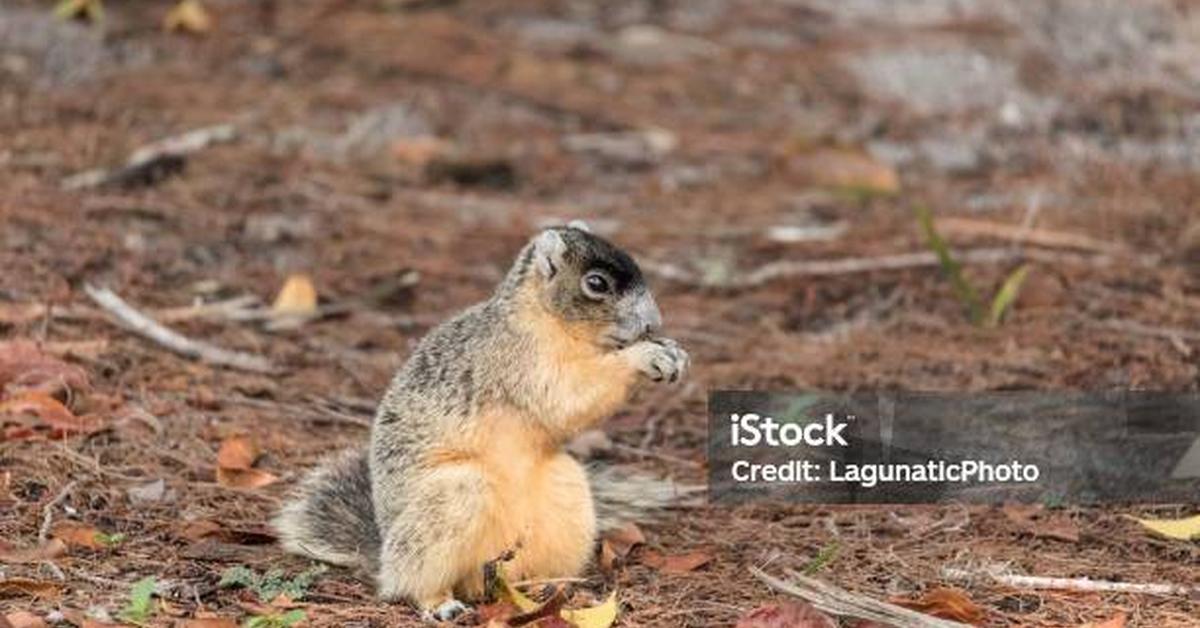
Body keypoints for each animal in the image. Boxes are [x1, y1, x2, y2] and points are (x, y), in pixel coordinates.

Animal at [270, 220, 686, 619]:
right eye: (596, 283)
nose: (654, 324)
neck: (546, 320)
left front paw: (673, 351)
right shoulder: (514, 358)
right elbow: (563, 397)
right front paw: (646, 357)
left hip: (567, 496)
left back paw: (546, 587)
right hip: (452, 500)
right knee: (412, 579)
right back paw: (439, 603)